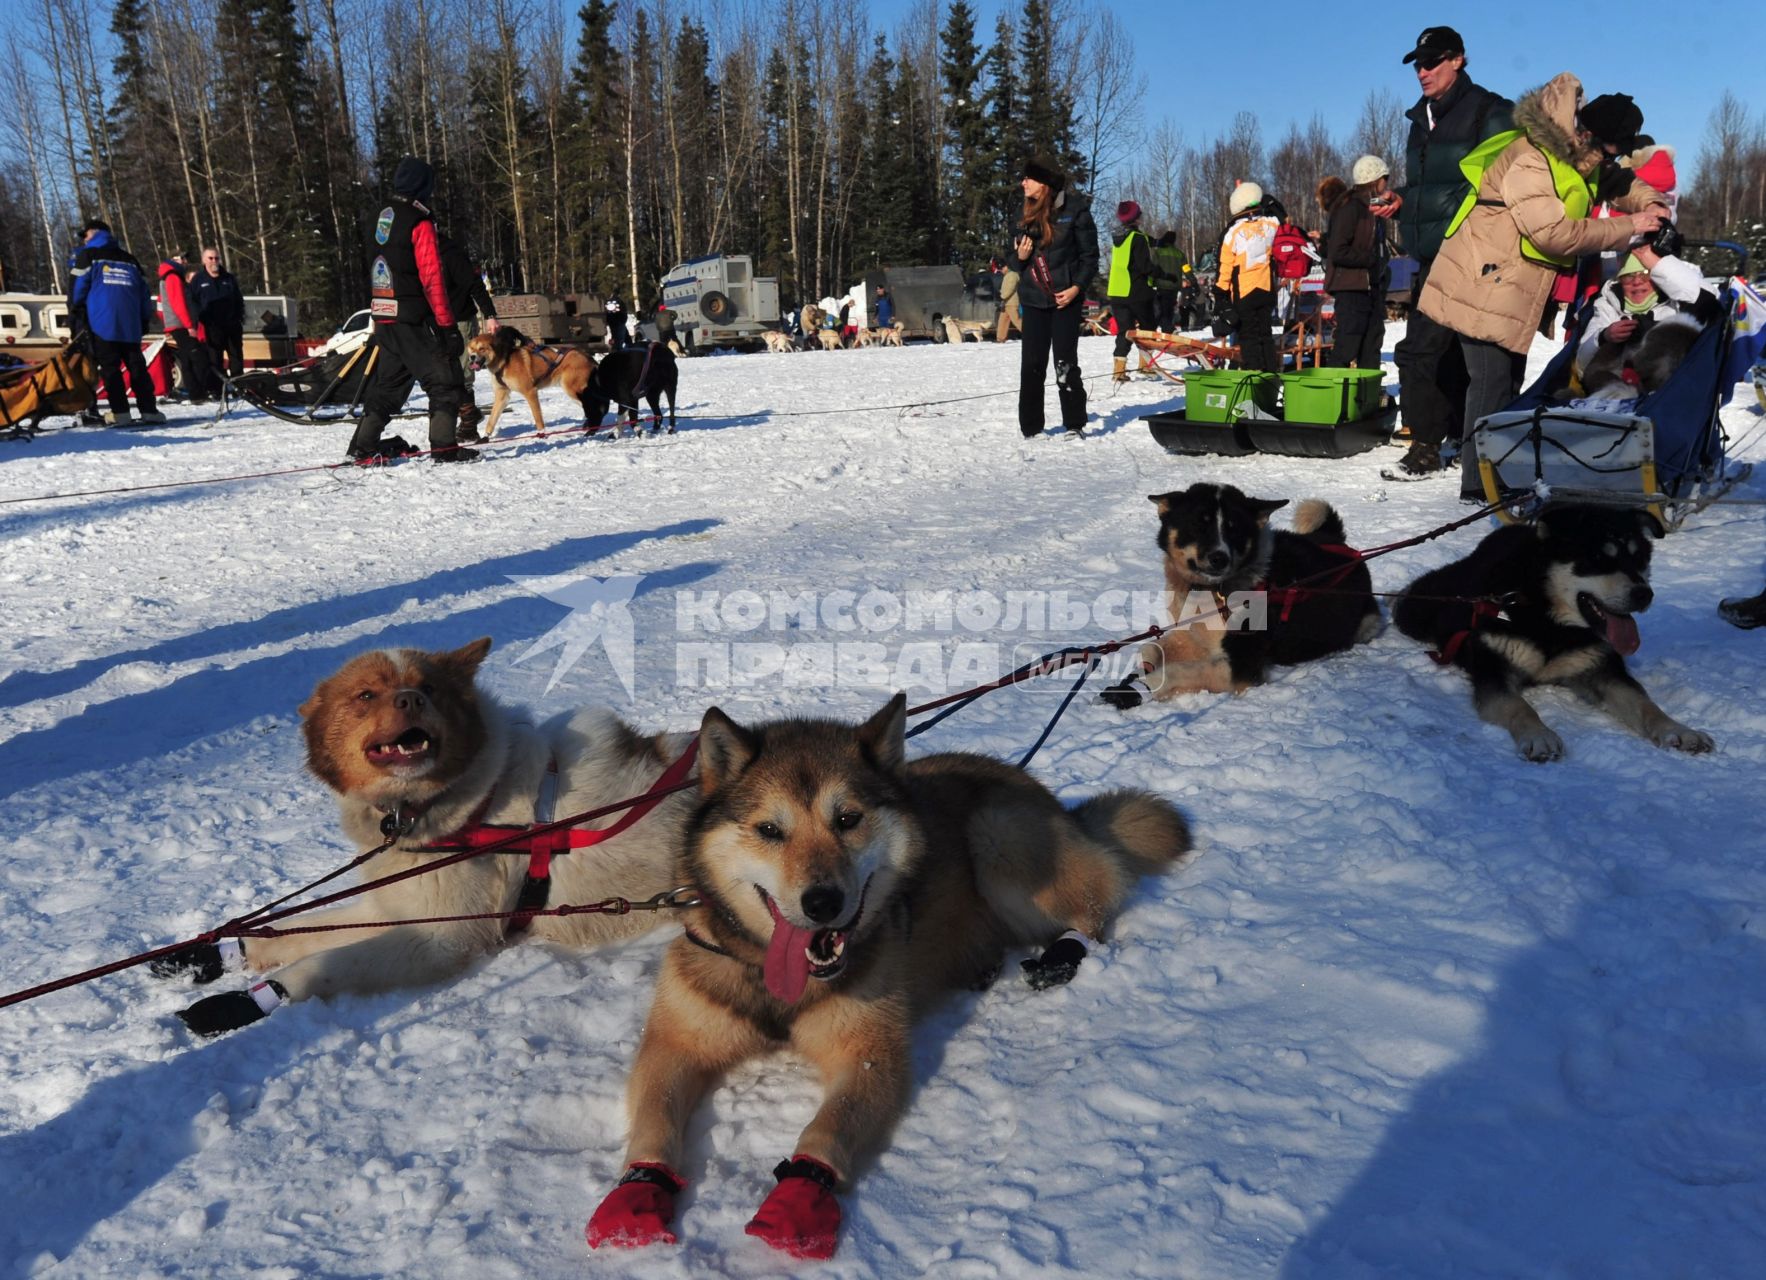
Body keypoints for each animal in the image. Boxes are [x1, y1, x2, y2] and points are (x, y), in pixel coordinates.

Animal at [157, 635, 695, 1031]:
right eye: (366, 694)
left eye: (429, 688)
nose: (411, 699)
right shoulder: (388, 907)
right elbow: (290, 931)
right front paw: (210, 954)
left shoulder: (441, 937)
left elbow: (322, 964)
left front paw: (242, 1002)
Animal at [466, 324, 596, 439]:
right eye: (471, 348)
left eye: (482, 348)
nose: (472, 357)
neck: (504, 362)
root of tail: (587, 356)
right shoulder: (502, 395)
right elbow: (492, 419)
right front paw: (485, 437)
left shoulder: (530, 392)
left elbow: (537, 417)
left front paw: (542, 434)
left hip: (572, 390)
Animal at [586, 695, 1193, 1249]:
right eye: (769, 830)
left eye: (848, 819)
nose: (823, 902)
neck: (774, 977)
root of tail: (1035, 786)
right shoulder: (674, 1045)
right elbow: (656, 1122)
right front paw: (635, 1194)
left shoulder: (869, 1054)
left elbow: (826, 1127)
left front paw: (799, 1198)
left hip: (998, 838)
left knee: (1091, 912)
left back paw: (1060, 955)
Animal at [1101, 480, 1377, 709]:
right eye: (1198, 525)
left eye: (1235, 530)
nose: (1219, 558)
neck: (1212, 593)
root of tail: (1337, 540)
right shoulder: (1190, 636)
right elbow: (1149, 648)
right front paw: (1137, 674)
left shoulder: (1240, 667)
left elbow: (1179, 671)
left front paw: (1139, 688)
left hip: (1367, 624)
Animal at [1391, 497, 1709, 759]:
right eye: (1597, 558)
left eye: (1640, 558)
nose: (1644, 594)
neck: (1551, 623)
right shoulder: (1494, 671)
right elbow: (1520, 706)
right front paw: (1539, 735)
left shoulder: (1603, 667)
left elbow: (1644, 703)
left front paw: (1678, 729)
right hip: (1414, 611)